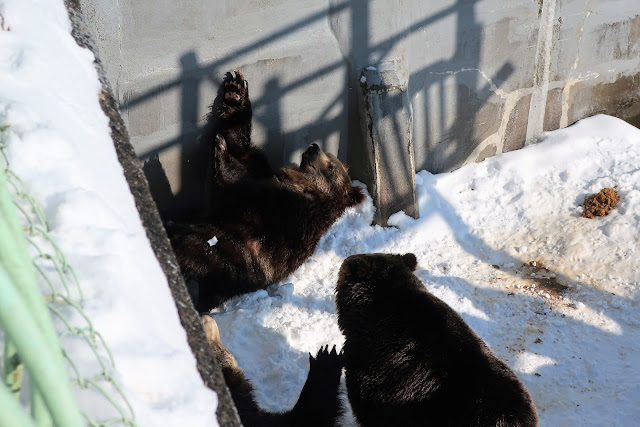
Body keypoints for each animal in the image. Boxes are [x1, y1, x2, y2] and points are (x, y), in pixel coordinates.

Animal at [166, 72, 364, 312]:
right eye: (330, 156)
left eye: (331, 166)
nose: (314, 147)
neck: (303, 188)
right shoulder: (262, 172)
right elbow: (240, 146)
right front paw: (235, 91)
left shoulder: (284, 216)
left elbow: (239, 188)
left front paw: (221, 152)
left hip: (216, 264)